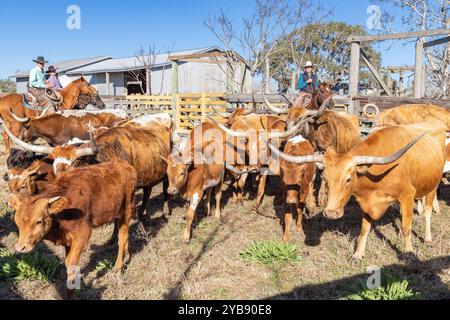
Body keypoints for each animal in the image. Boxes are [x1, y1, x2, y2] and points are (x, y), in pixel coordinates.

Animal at [8, 159, 137, 296]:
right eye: (17, 222)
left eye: (39, 221)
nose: (20, 248)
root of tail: (123, 164)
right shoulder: (67, 241)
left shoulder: (82, 236)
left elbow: (70, 263)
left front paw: (70, 290)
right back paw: (127, 255)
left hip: (127, 209)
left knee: (122, 236)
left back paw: (118, 266)